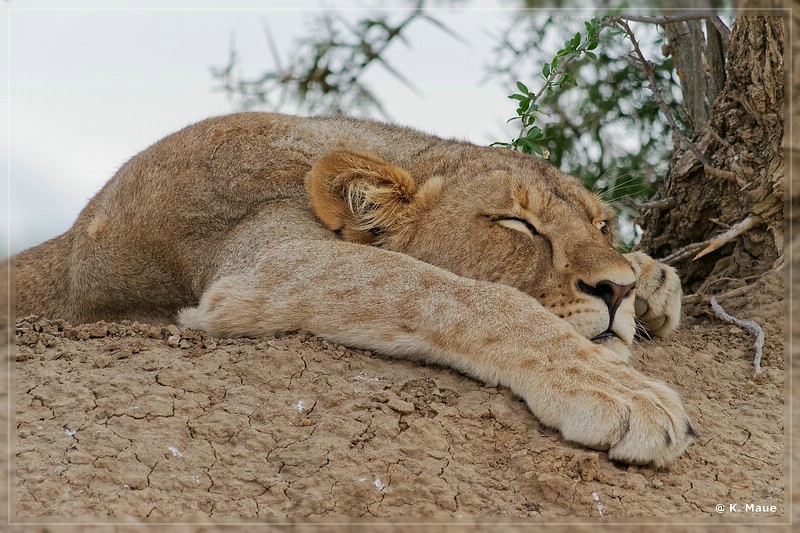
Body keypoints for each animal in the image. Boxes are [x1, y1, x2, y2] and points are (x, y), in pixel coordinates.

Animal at [17, 111, 692, 466]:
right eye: (516, 224)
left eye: (601, 224)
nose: (616, 291)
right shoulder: (263, 264)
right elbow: (456, 292)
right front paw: (623, 394)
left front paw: (653, 278)